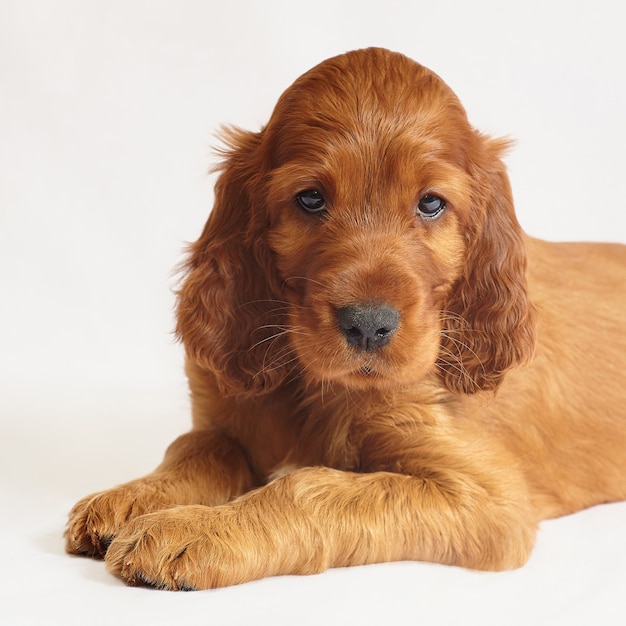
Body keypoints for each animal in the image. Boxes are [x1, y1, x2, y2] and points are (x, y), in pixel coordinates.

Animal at [64, 48, 624, 588]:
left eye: (431, 203)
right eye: (311, 198)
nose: (368, 325)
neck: (316, 387)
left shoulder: (487, 496)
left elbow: (308, 487)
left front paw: (193, 529)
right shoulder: (225, 409)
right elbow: (197, 444)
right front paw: (133, 498)